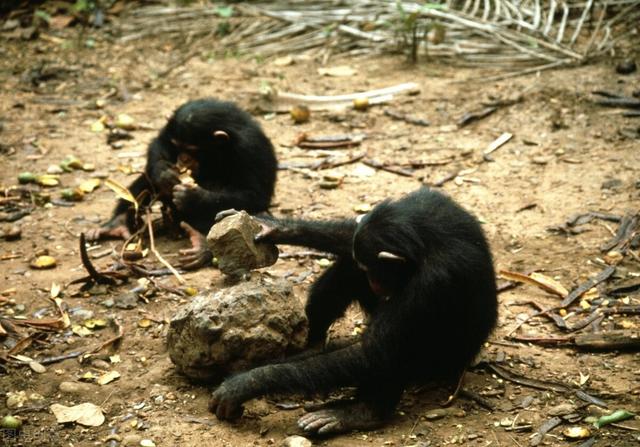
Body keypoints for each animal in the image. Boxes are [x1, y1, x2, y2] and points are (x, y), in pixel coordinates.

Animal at [85, 99, 278, 270]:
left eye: (193, 149)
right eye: (177, 145)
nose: (183, 158)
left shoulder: (250, 149)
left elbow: (254, 195)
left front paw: (193, 197)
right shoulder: (170, 130)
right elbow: (159, 141)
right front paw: (163, 172)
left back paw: (202, 244)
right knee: (148, 181)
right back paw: (116, 224)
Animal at [210, 189, 500, 438]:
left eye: (374, 269)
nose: (373, 281)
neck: (421, 236)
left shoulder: (434, 282)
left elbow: (374, 350)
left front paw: (246, 383)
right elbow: (349, 236)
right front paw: (269, 226)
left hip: (439, 365)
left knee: (390, 350)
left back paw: (360, 414)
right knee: (347, 270)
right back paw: (310, 346)